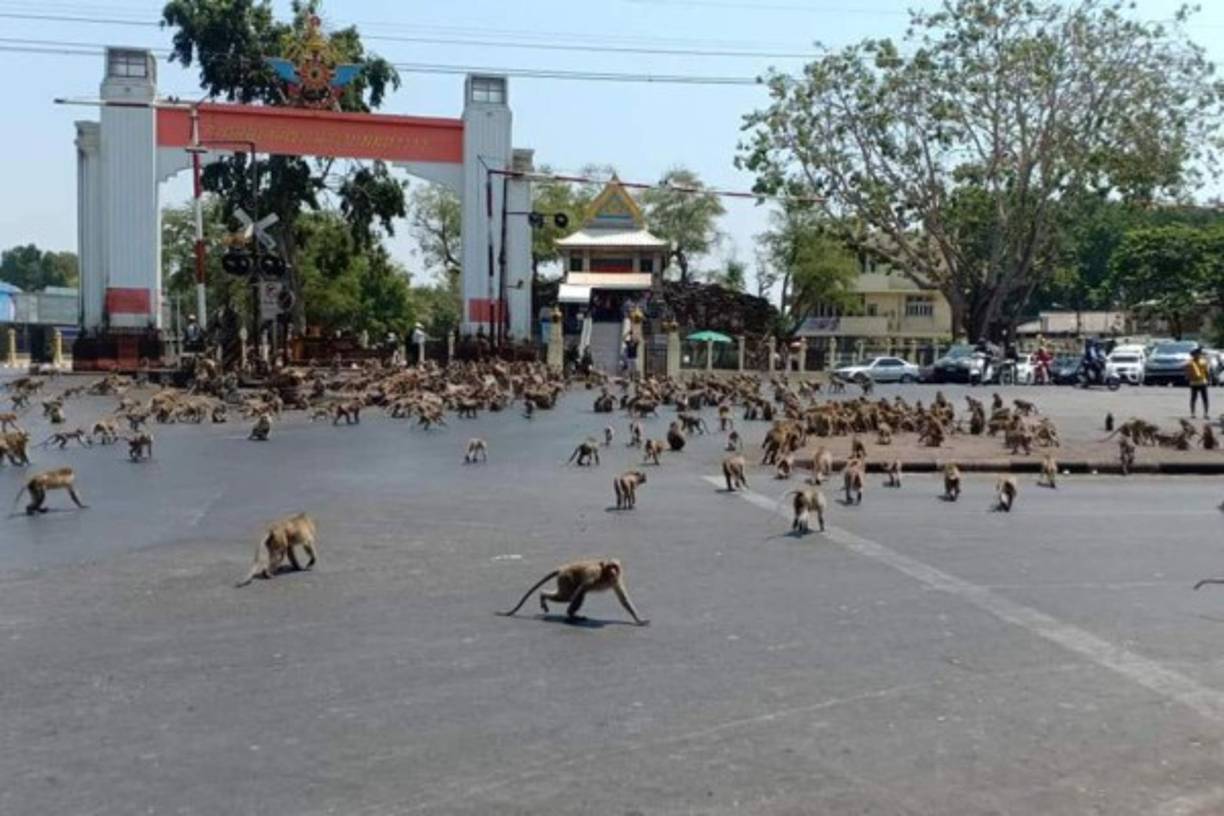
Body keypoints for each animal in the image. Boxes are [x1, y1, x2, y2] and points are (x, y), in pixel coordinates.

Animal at [497, 558, 648, 625]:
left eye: (615, 566)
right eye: (610, 566)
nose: (613, 571)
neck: (605, 576)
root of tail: (562, 568)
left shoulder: (616, 580)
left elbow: (623, 599)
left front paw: (638, 619)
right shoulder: (593, 575)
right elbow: (581, 589)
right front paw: (569, 612)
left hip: (564, 578)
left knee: (570, 595)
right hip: (566, 578)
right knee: (570, 595)